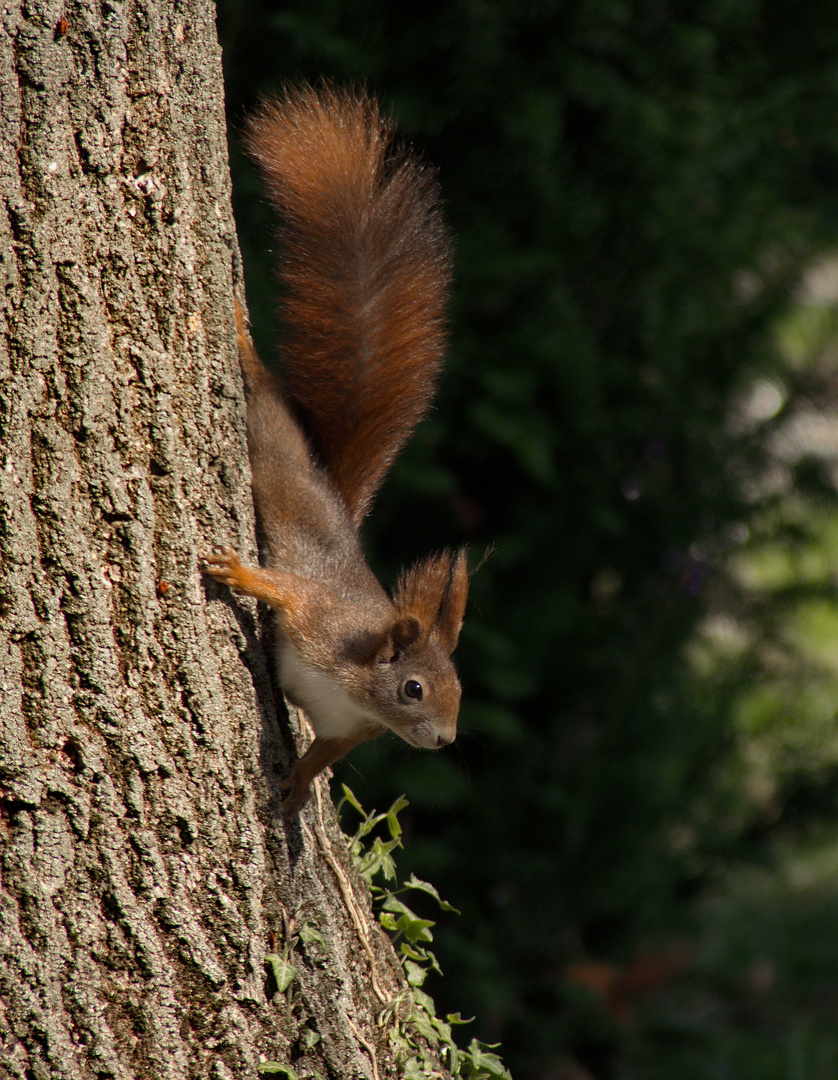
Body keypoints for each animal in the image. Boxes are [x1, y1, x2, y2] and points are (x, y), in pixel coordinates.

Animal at [200, 84, 468, 812]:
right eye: (413, 689)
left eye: (460, 690)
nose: (444, 741)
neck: (359, 688)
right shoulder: (319, 622)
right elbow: (286, 592)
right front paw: (240, 575)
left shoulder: (345, 730)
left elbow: (321, 755)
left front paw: (294, 790)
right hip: (272, 441)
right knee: (262, 391)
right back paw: (243, 342)